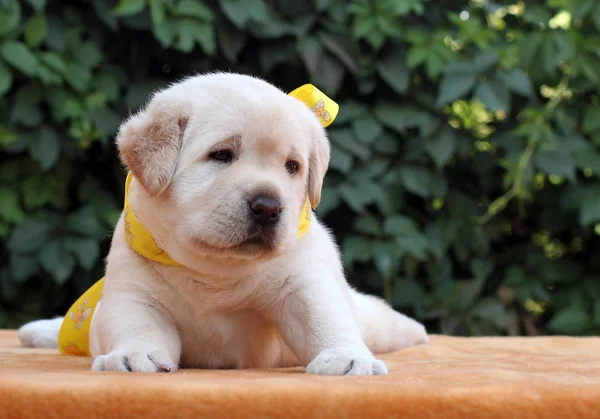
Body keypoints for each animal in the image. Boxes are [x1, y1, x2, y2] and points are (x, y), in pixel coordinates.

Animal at [18, 73, 428, 378]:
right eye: (221, 155)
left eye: (292, 166)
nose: (268, 207)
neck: (216, 272)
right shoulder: (132, 290)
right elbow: (135, 323)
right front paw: (134, 355)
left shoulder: (304, 282)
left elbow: (324, 316)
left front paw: (348, 358)